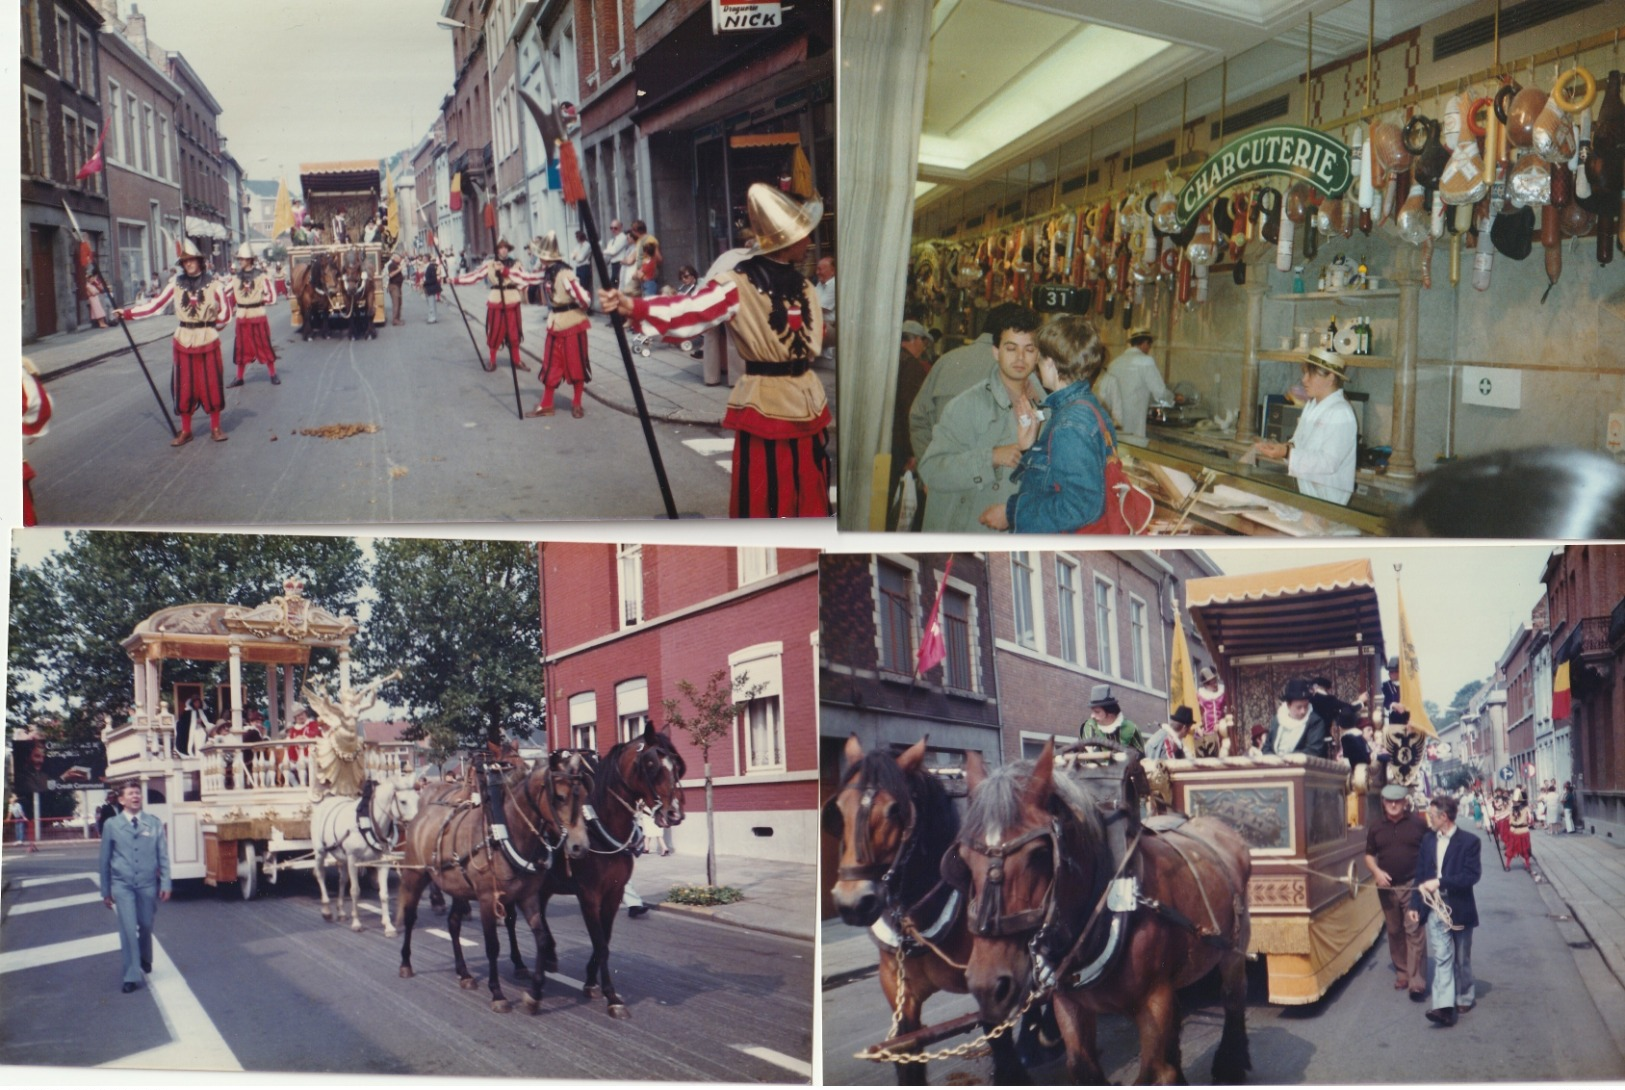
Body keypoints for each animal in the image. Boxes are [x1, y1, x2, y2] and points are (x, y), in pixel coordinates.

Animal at [312, 776, 419, 935]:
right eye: (403, 801)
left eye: (417, 798)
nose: (416, 824)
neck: (370, 823)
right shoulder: (353, 859)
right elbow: (355, 891)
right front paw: (356, 923)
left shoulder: (383, 861)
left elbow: (384, 894)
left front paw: (388, 925)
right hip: (320, 851)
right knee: (320, 874)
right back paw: (326, 910)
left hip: (342, 857)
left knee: (342, 880)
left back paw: (341, 911)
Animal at [394, 750, 591, 1013]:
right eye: (559, 797)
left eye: (585, 795)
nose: (580, 846)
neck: (505, 834)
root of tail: (422, 814)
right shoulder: (488, 899)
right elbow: (492, 946)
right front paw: (497, 993)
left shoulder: (528, 897)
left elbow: (541, 939)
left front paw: (535, 994)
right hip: (415, 876)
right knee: (410, 916)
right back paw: (406, 963)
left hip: (459, 888)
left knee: (453, 923)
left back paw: (464, 973)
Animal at [503, 727, 689, 1020]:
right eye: (650, 764)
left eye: (677, 764)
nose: (674, 813)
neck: (602, 826)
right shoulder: (589, 895)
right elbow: (600, 942)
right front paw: (611, 995)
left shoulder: (613, 893)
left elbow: (605, 939)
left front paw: (591, 981)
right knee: (511, 920)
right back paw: (520, 963)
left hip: (544, 887)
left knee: (540, 916)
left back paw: (550, 955)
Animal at [825, 737, 1027, 1085]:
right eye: (839, 809)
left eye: (895, 809)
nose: (852, 904)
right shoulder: (898, 989)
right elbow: (908, 1051)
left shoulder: (992, 980)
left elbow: (998, 1036)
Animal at [949, 740, 1254, 1085]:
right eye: (963, 859)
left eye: (1038, 854)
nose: (988, 985)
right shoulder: (1069, 1004)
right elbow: (1083, 1066)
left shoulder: (1153, 1000)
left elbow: (1153, 1072)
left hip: (1234, 946)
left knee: (1233, 996)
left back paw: (1231, 1062)